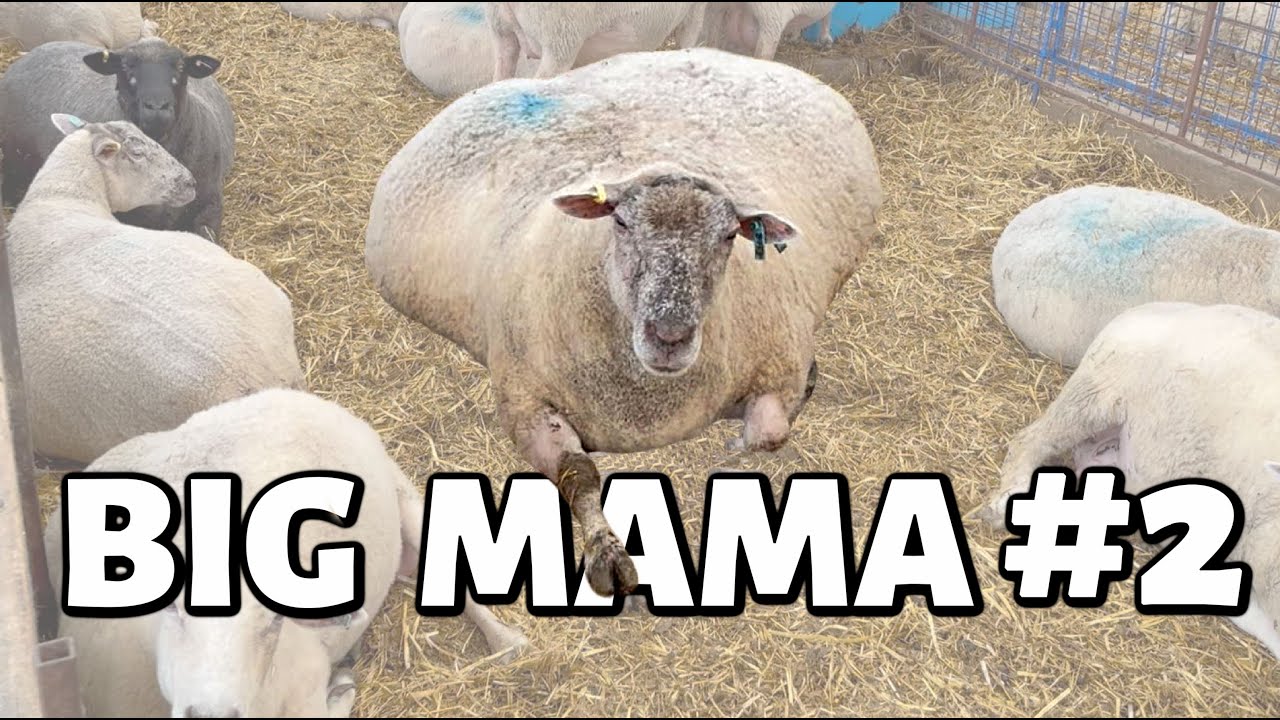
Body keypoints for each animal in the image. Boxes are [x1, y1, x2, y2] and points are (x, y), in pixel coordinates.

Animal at [44, 387, 529, 717]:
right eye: (173, 609)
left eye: (273, 622)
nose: (212, 715)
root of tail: (286, 394)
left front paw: (344, 685)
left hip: (401, 492)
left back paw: (508, 643)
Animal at [364, 47, 882, 597]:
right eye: (620, 221)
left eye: (728, 236)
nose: (670, 336)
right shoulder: (524, 400)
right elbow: (579, 475)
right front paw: (607, 553)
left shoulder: (778, 362)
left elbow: (770, 433)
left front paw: (736, 444)